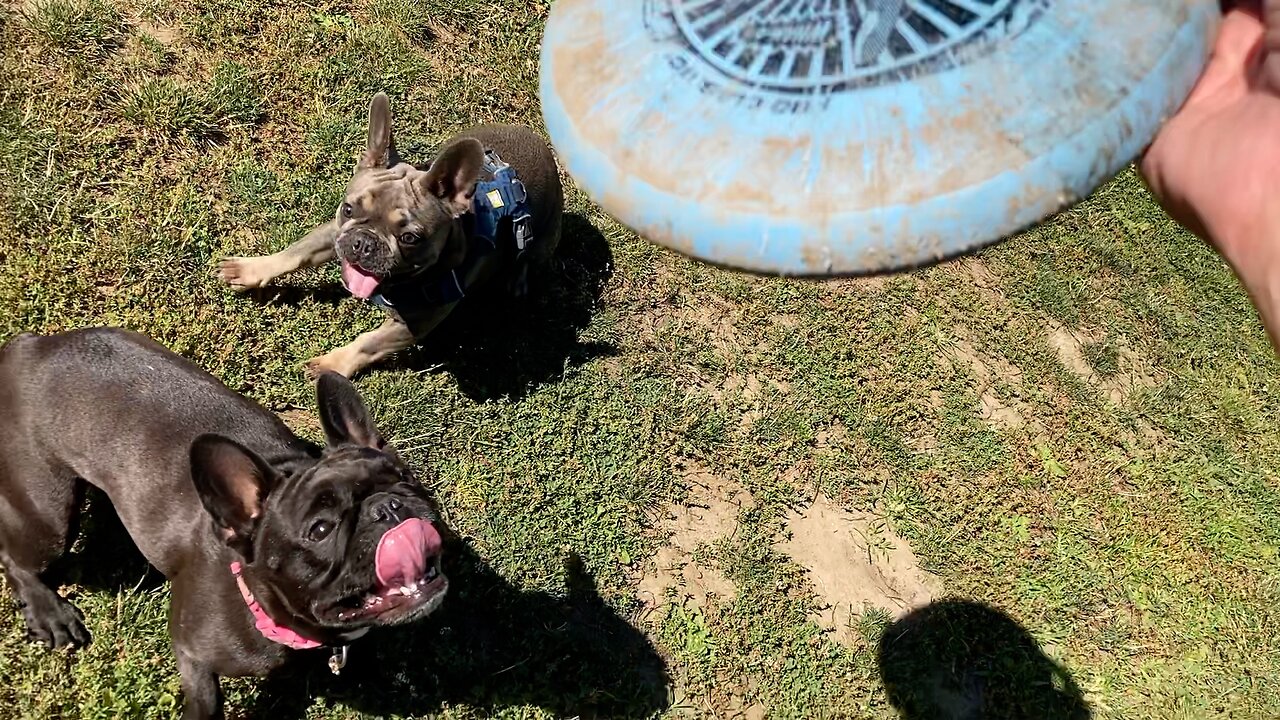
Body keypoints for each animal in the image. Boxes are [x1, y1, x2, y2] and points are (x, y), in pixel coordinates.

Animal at [0, 327, 450, 712]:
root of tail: (29, 348)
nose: (387, 507)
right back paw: (49, 613)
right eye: (320, 530)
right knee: (18, 557)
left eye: (405, 478)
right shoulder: (193, 651)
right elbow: (208, 699)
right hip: (49, 515)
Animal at [217, 90, 563, 376]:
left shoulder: (416, 323)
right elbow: (296, 253)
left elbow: (369, 343)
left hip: (544, 237)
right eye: (348, 210)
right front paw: (250, 269)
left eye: (410, 238)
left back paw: (516, 280)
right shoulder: (332, 234)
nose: (363, 243)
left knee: (527, 256)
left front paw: (331, 364)